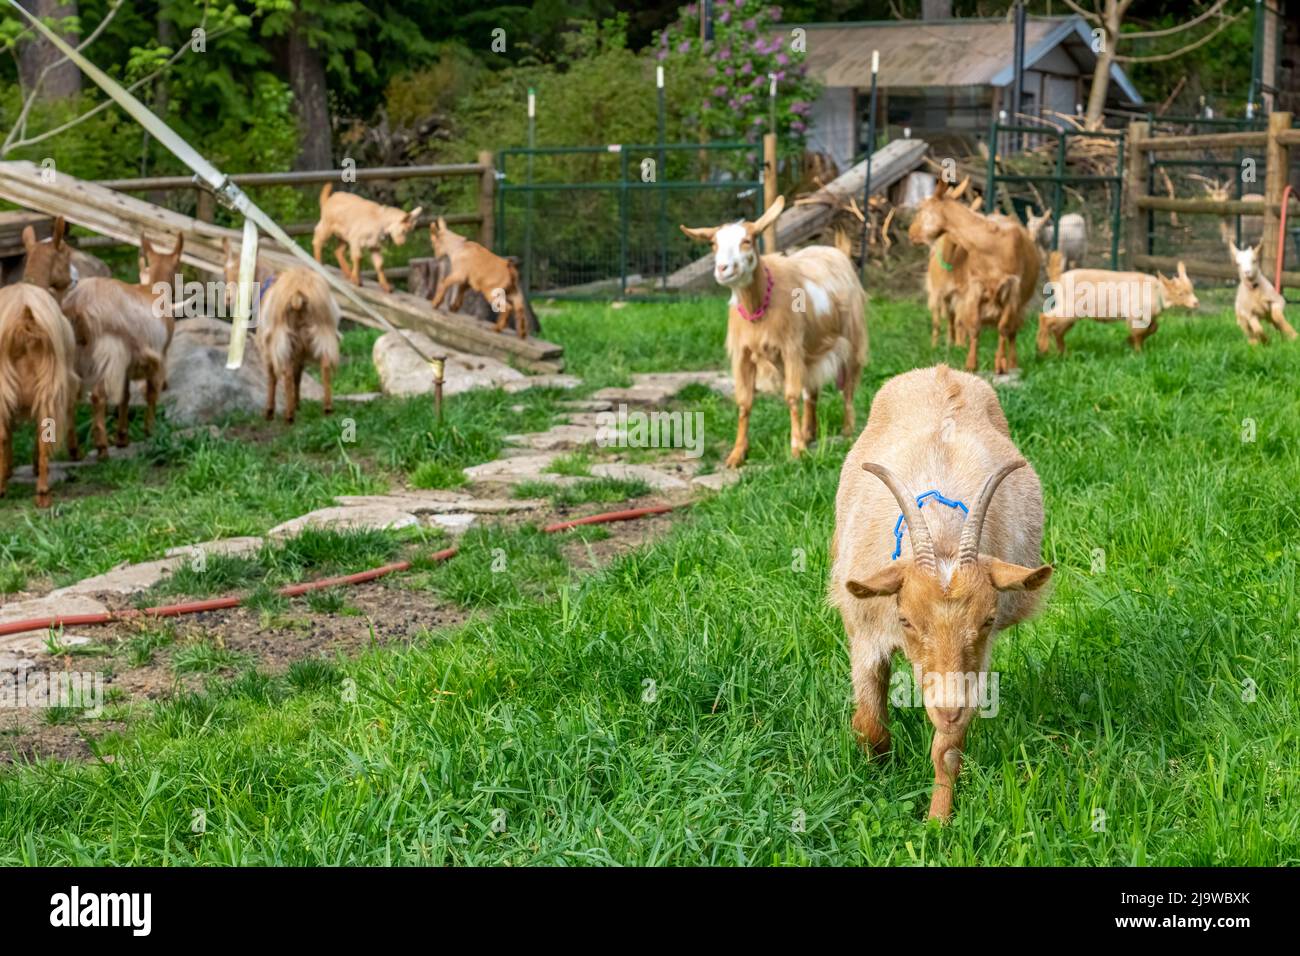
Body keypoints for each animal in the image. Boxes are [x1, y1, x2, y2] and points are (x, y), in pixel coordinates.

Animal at [62, 231, 183, 455]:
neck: (152, 290)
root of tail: (77, 305)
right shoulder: (159, 356)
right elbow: (151, 393)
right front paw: (149, 432)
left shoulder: (128, 364)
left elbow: (125, 396)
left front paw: (122, 438)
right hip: (107, 352)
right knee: (98, 395)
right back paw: (101, 448)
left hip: (71, 354)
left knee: (69, 397)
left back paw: (75, 451)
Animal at [681, 195, 873, 468]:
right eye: (713, 244)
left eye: (747, 241)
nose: (723, 269)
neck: (757, 308)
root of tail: (837, 252)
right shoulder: (743, 354)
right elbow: (744, 402)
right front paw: (737, 454)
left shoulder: (790, 347)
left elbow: (791, 396)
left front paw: (796, 450)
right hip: (811, 347)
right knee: (811, 389)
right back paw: (809, 432)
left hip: (852, 338)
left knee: (847, 386)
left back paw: (847, 432)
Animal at [832, 366, 1055, 822]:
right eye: (905, 619)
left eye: (987, 620)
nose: (949, 707)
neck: (943, 538)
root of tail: (940, 370)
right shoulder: (865, 632)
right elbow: (870, 722)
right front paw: (877, 774)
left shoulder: (973, 667)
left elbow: (948, 748)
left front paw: (938, 819)